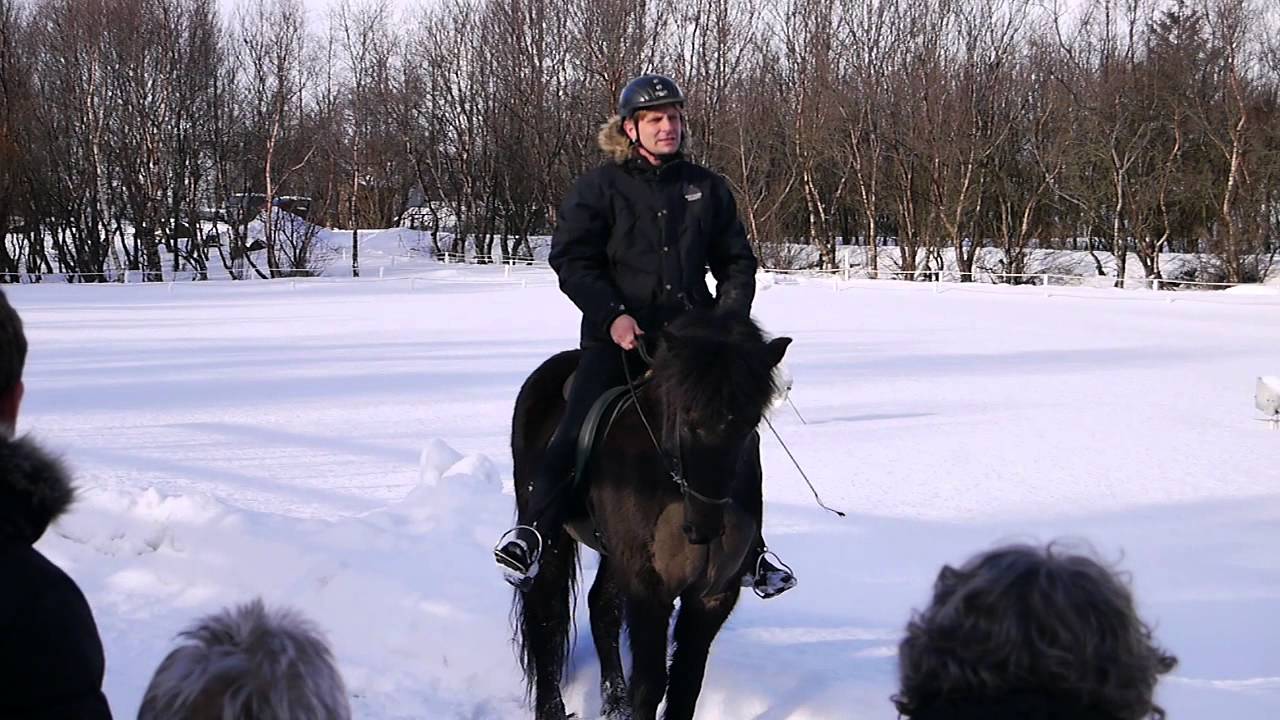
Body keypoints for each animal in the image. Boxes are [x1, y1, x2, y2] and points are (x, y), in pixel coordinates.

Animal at [509, 308, 791, 720]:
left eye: (751, 423)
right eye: (685, 417)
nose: (705, 527)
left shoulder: (712, 594)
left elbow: (686, 683)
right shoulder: (649, 589)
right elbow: (651, 683)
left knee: (602, 609)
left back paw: (615, 704)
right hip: (551, 537)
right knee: (545, 610)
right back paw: (553, 710)